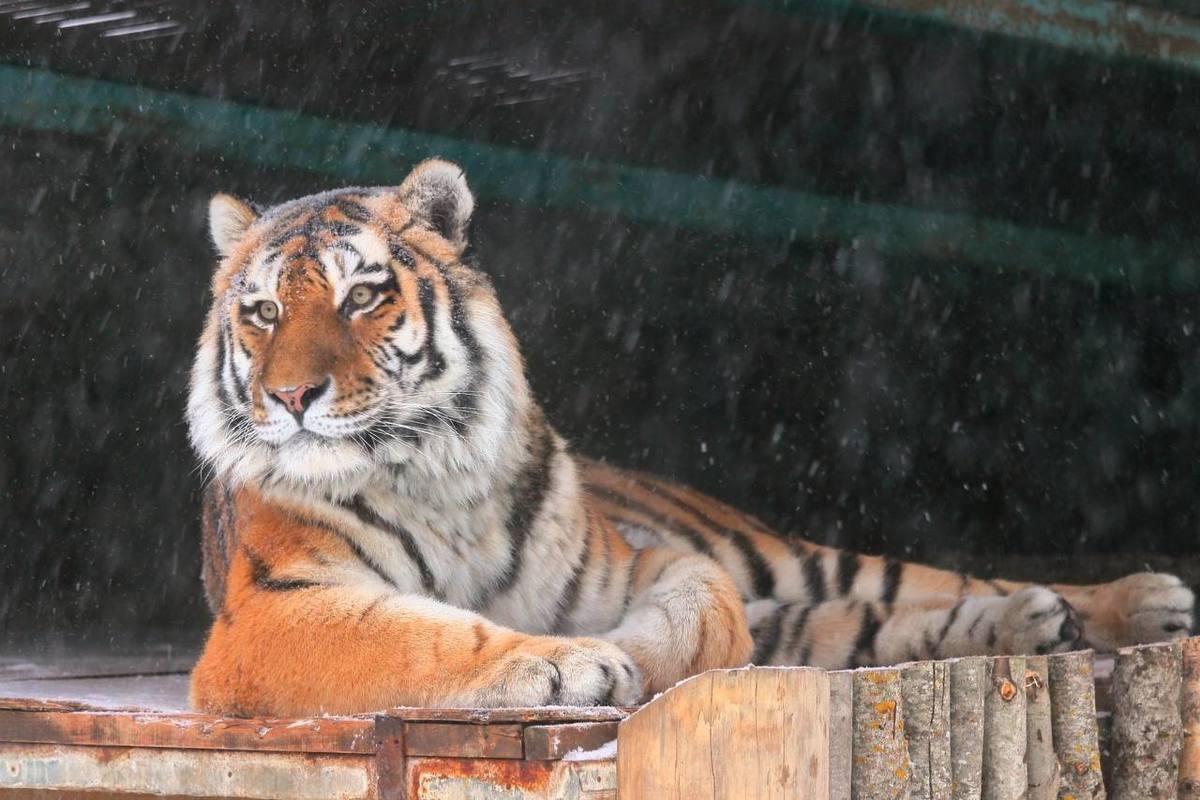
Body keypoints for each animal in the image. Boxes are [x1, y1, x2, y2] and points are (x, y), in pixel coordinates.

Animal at [187, 159, 1190, 714]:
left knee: (929, 582)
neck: (431, 469)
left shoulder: (634, 563)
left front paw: (628, 656)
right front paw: (570, 666)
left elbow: (697, 607)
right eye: (263, 311)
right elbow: (423, 637)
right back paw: (1041, 623)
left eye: (362, 294)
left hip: (782, 553)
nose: (291, 396)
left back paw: (1136, 602)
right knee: (866, 625)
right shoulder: (273, 610)